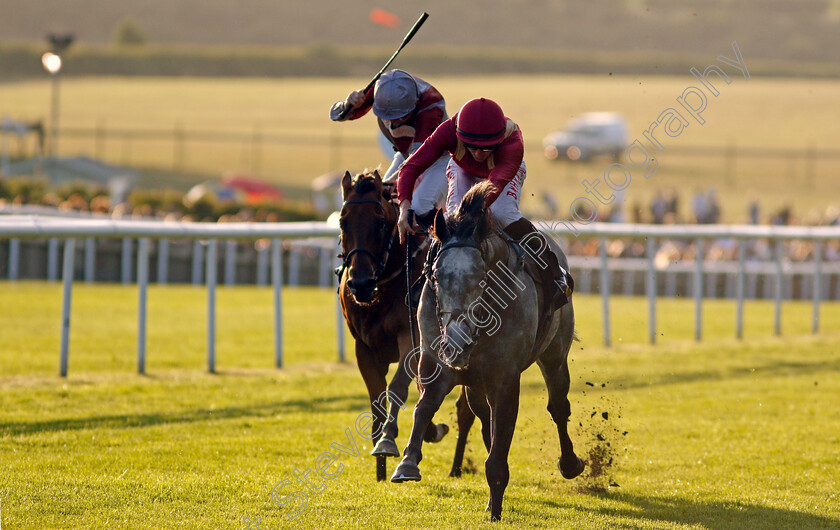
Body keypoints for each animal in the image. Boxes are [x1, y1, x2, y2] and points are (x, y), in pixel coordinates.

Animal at [338, 169, 476, 478]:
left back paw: (456, 467)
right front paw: (379, 460)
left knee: (465, 409)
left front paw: (389, 440)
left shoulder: (409, 338)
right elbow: (377, 399)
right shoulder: (363, 347)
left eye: (380, 222)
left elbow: (397, 387)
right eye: (342, 221)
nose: (360, 283)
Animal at [388, 179, 584, 516]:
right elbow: (423, 408)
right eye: (436, 276)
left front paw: (495, 507)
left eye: (481, 277)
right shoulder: (436, 362)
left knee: (558, 406)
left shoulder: (505, 379)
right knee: (479, 414)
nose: (456, 341)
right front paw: (407, 463)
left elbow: (502, 433)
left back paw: (570, 463)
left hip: (555, 355)